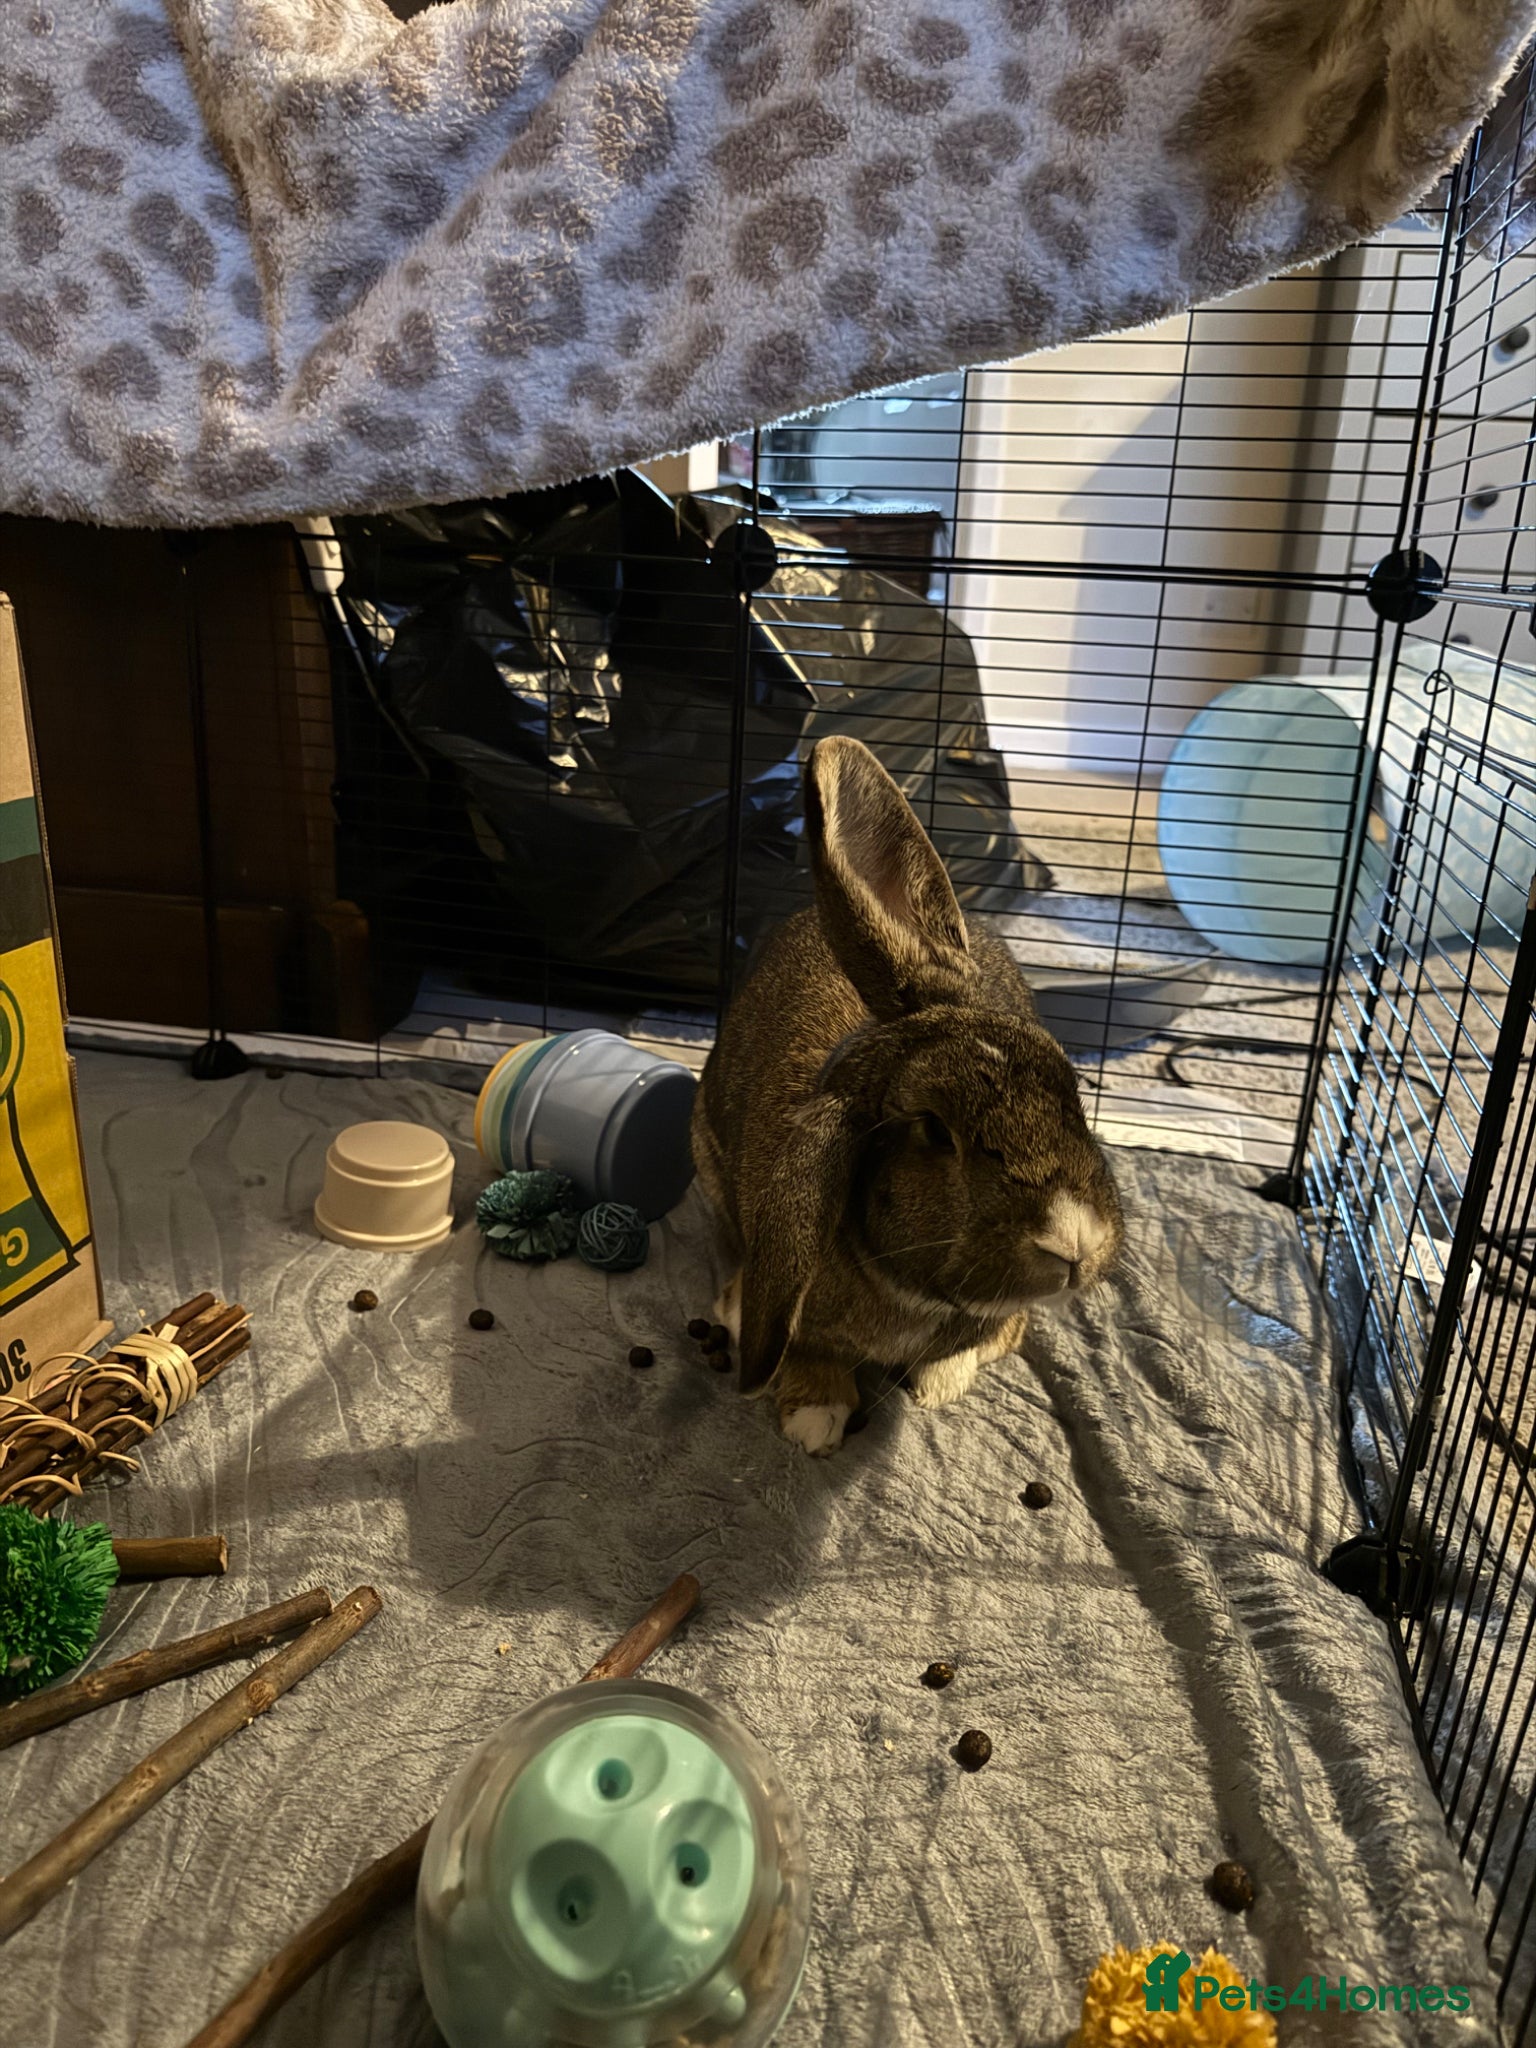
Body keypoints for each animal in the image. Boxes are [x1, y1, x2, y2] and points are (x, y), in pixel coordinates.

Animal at [692, 734, 1124, 1455]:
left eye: (1068, 1086)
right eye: (934, 1131)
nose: (1073, 1242)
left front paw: (941, 1381)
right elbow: (808, 1350)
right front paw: (814, 1416)